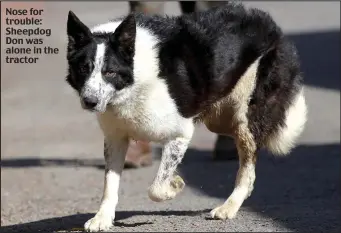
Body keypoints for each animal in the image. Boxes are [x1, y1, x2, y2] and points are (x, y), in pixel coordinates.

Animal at [65, 2, 306, 232]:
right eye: (83, 69)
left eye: (109, 72)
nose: (90, 101)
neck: (134, 78)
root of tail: (270, 24)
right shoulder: (115, 139)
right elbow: (110, 184)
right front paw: (102, 219)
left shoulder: (180, 133)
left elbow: (156, 187)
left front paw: (176, 185)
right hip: (220, 118)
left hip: (246, 113)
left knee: (248, 163)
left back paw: (229, 207)